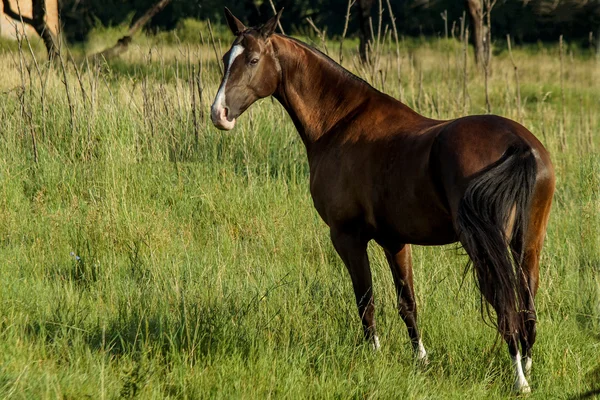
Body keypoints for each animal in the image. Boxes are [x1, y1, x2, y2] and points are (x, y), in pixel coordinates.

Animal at [210, 9, 552, 394]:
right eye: (226, 59)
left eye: (253, 60)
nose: (219, 113)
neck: (340, 121)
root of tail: (517, 144)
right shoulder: (394, 240)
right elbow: (408, 302)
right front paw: (420, 359)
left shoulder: (347, 237)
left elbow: (366, 300)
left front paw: (372, 355)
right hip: (528, 246)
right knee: (527, 307)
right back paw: (527, 365)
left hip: (485, 249)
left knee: (506, 307)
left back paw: (519, 379)